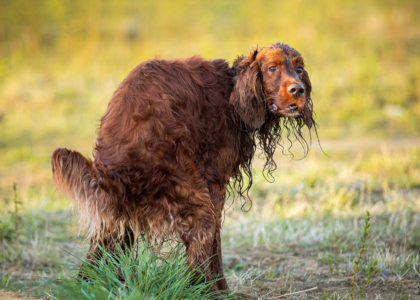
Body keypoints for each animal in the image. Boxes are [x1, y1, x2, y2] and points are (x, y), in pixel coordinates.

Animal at [51, 43, 316, 292]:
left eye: (299, 69)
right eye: (272, 68)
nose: (298, 90)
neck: (232, 89)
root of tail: (113, 172)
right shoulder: (215, 182)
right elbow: (215, 244)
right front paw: (222, 289)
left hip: (118, 213)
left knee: (102, 248)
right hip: (194, 199)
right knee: (198, 251)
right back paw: (208, 291)